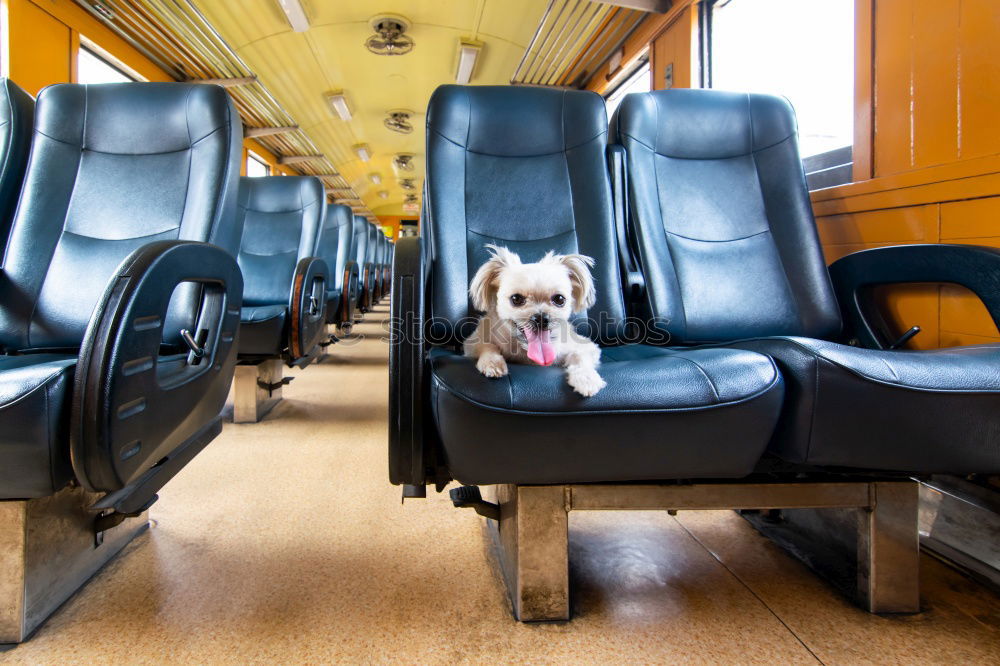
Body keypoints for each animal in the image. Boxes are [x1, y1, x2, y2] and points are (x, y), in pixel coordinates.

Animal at [464, 246, 604, 396]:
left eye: (559, 299)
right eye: (516, 299)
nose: (541, 318)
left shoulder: (586, 346)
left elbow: (580, 357)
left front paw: (586, 378)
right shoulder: (472, 342)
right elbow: (488, 346)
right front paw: (492, 363)